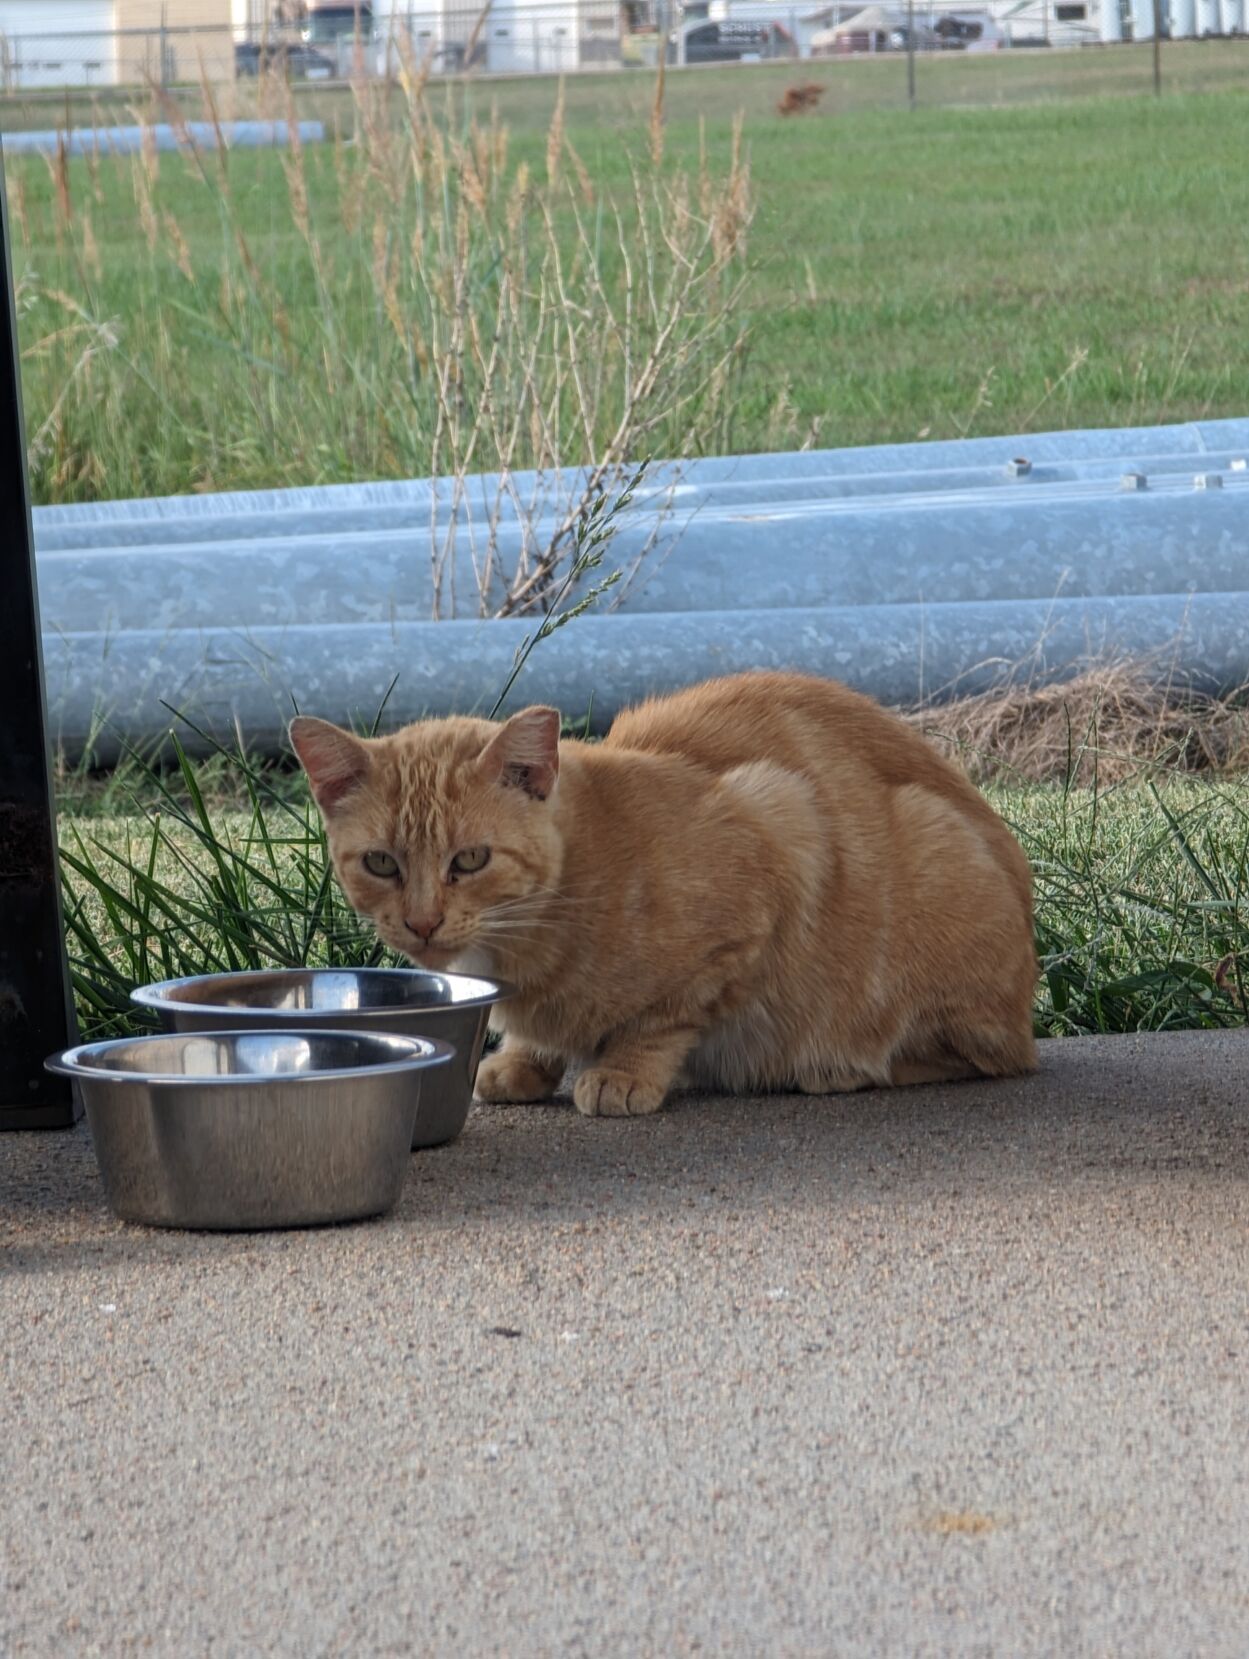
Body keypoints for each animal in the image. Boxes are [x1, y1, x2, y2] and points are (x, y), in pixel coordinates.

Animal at [290, 670, 1035, 1114]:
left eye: (469, 859)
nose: (421, 923)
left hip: (934, 867)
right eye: (381, 863)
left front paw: (623, 1072)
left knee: (978, 1057)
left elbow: (662, 1016)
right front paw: (523, 1061)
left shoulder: (775, 834)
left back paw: (839, 1068)